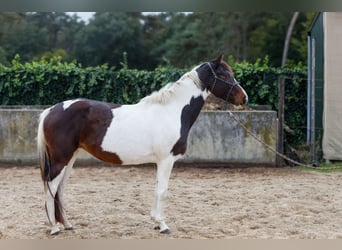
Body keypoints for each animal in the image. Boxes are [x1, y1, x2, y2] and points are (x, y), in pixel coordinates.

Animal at [37, 53, 248, 235]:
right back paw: (54, 228)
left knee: (60, 189)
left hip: (70, 158)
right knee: (51, 187)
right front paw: (163, 225)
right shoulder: (166, 160)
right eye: (224, 74)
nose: (244, 97)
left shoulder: (161, 161)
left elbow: (157, 189)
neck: (173, 111)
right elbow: (163, 190)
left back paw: (67, 224)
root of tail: (50, 110)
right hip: (61, 159)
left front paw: (156, 222)